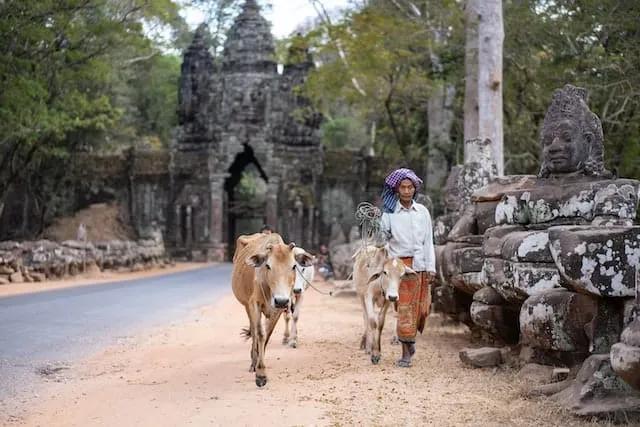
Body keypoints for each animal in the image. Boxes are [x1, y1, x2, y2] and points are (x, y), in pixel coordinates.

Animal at [231, 232, 313, 387]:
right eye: (268, 265)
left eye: (294, 266)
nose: (281, 300)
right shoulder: (254, 304)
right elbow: (260, 334)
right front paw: (260, 374)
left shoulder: (279, 309)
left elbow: (267, 335)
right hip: (247, 306)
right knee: (254, 331)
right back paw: (253, 359)